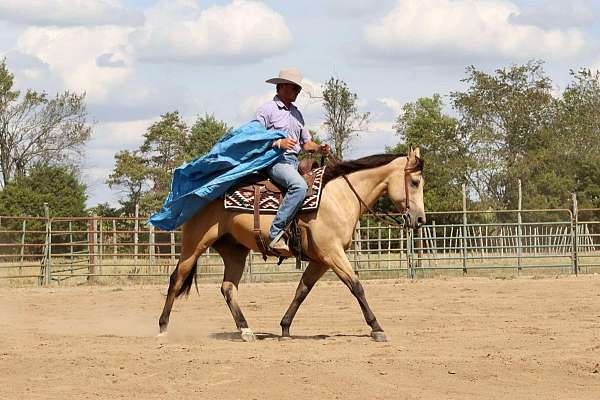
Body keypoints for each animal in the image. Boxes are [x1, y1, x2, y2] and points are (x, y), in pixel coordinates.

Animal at [157, 148, 424, 342]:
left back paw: (246, 331)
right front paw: (377, 328)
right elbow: (356, 286)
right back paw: (162, 328)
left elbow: (302, 290)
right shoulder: (333, 254)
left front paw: (285, 328)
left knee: (228, 288)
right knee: (176, 279)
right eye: (414, 182)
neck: (339, 197)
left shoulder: (320, 261)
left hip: (235, 251)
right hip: (194, 244)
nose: (420, 219)